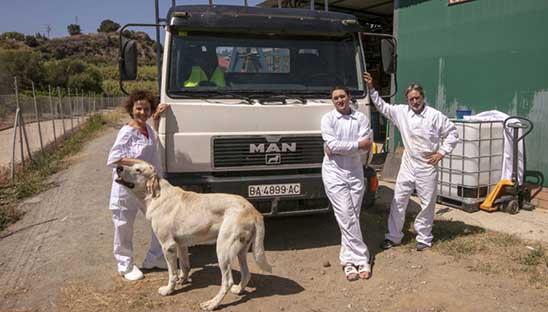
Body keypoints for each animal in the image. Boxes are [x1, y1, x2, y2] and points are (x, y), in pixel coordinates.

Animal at [114, 160, 272, 310]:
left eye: (138, 170)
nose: (118, 167)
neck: (157, 196)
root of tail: (253, 210)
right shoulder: (181, 244)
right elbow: (184, 267)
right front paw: (183, 280)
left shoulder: (168, 246)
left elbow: (172, 273)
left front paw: (169, 290)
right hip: (241, 250)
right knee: (246, 273)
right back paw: (239, 290)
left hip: (223, 249)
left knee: (227, 282)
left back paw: (212, 304)